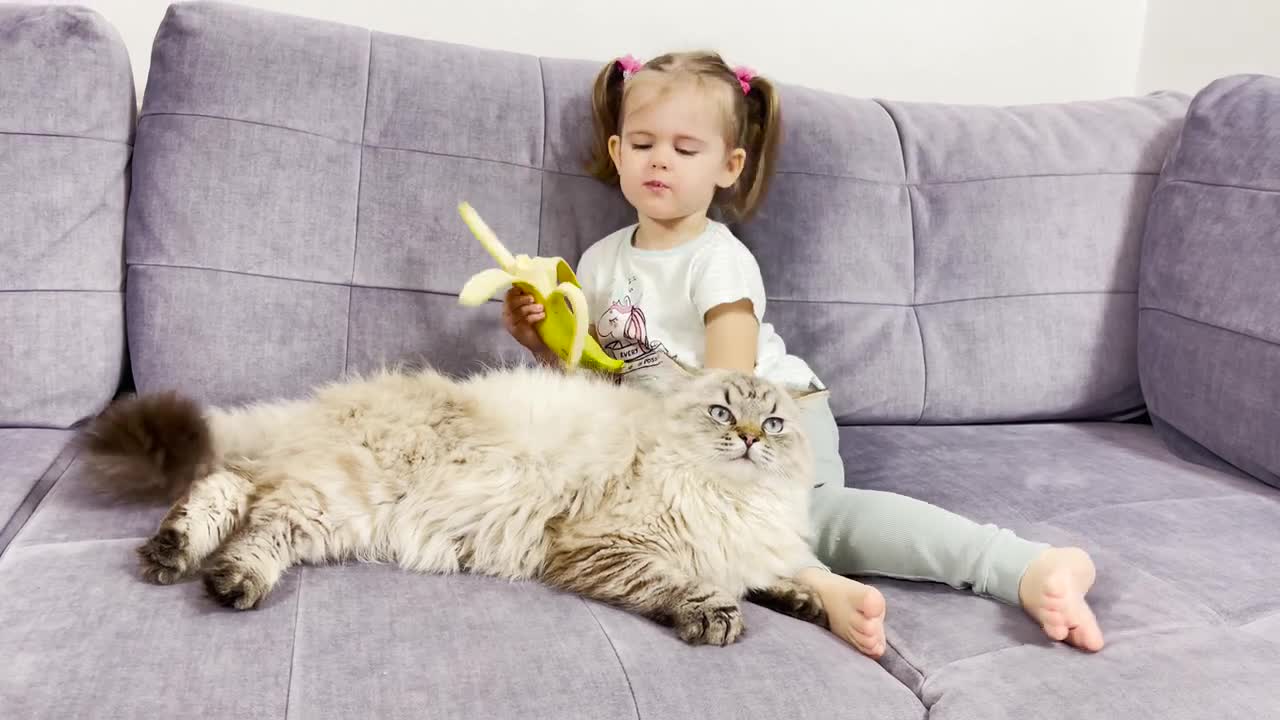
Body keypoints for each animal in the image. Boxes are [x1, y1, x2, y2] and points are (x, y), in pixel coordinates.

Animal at [85, 363, 834, 645]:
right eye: (721, 413)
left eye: (774, 424)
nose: (747, 440)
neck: (728, 501)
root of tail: (322, 403)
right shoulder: (606, 546)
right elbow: (686, 583)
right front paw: (716, 615)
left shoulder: (745, 549)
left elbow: (771, 579)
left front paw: (803, 600)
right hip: (335, 496)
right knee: (252, 519)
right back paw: (222, 576)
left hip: (326, 504)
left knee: (229, 488)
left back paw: (174, 548)